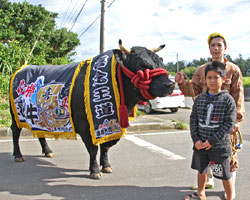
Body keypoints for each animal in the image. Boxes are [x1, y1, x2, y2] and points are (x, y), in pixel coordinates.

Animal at [9, 41, 174, 179]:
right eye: (141, 63)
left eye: (160, 60)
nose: (170, 84)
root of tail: (22, 68)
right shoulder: (85, 125)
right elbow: (93, 148)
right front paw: (94, 170)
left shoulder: (112, 123)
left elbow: (106, 146)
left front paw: (106, 166)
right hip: (15, 114)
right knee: (15, 131)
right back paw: (18, 155)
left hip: (36, 116)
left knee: (40, 131)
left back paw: (48, 151)